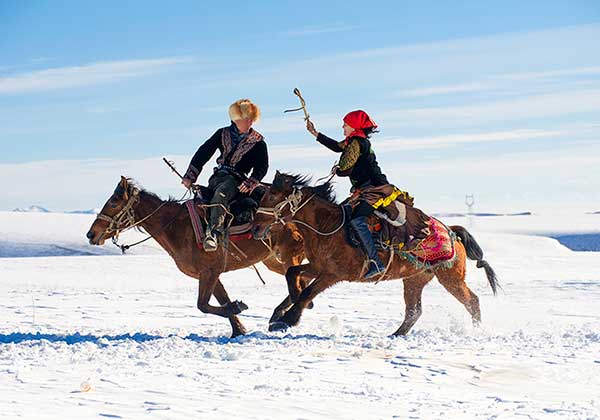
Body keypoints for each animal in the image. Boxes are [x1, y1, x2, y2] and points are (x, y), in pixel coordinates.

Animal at [86, 176, 308, 338]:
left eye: (114, 202)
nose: (91, 234)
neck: (176, 227)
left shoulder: (209, 272)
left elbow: (203, 305)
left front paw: (238, 308)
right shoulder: (211, 274)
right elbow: (221, 301)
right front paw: (238, 329)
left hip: (288, 255)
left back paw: (282, 316)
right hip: (273, 260)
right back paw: (280, 316)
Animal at [252, 172, 496, 336]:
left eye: (272, 196)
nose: (255, 228)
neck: (327, 226)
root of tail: (452, 232)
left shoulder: (332, 274)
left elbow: (307, 292)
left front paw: (288, 320)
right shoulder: (317, 266)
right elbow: (292, 274)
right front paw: (281, 315)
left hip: (450, 278)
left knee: (472, 301)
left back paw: (476, 331)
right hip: (414, 280)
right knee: (414, 311)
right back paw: (395, 335)